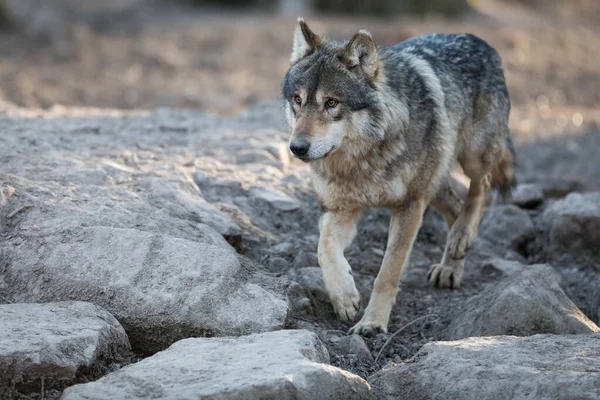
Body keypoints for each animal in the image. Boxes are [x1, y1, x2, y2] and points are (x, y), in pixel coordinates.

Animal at [278, 19, 512, 338]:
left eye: (331, 103)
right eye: (298, 100)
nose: (297, 148)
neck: (362, 160)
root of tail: (479, 41)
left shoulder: (409, 207)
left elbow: (388, 271)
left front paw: (373, 322)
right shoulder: (341, 210)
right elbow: (324, 249)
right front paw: (345, 297)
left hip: (472, 157)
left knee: (482, 187)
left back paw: (462, 236)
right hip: (436, 180)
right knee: (455, 205)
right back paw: (451, 263)